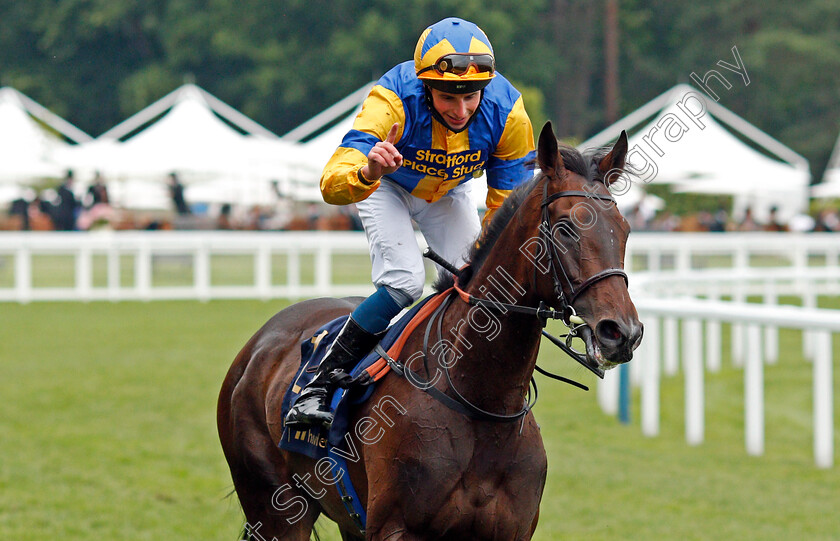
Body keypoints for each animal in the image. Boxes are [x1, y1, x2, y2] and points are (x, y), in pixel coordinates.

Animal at [218, 123, 644, 540]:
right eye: (566, 228)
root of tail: (259, 344)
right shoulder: (395, 529)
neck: (482, 405)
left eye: (624, 229)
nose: (622, 332)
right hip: (276, 507)